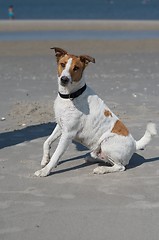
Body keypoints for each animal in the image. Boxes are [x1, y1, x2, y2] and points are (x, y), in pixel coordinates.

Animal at [34, 47, 157, 177]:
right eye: (62, 64)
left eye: (76, 68)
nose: (64, 79)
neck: (70, 96)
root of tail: (134, 144)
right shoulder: (60, 126)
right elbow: (46, 142)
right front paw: (45, 159)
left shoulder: (68, 134)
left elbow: (56, 155)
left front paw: (45, 170)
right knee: (105, 159)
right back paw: (91, 158)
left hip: (106, 144)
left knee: (120, 167)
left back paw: (101, 169)